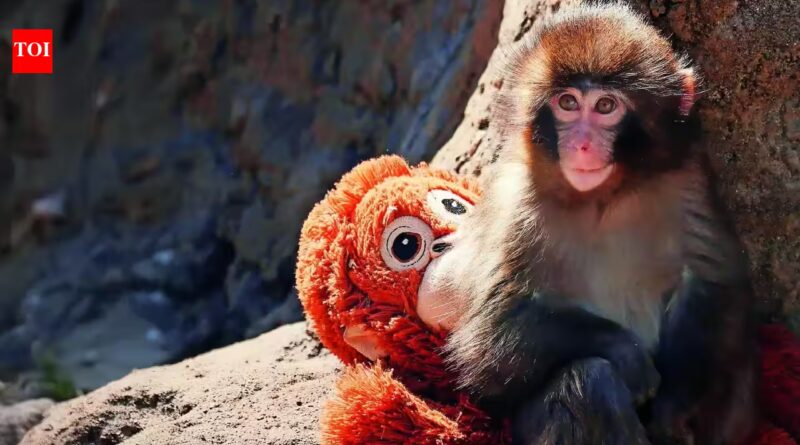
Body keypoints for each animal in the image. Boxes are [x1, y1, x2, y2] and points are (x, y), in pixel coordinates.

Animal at [423, 4, 758, 444]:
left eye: (604, 107)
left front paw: (674, 405)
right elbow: (488, 342)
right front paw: (624, 350)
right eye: (567, 102)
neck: (603, 198)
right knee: (589, 379)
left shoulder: (687, 179)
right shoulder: (514, 205)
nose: (581, 144)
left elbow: (710, 283)